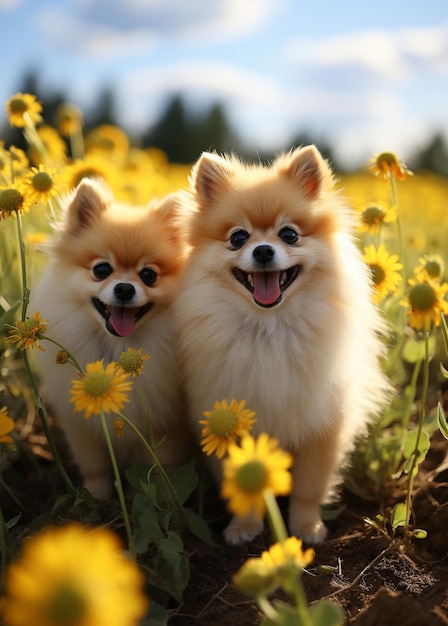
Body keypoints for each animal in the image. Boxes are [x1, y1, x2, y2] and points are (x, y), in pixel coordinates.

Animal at [31, 177, 192, 498]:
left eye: (149, 275)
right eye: (101, 269)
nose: (124, 289)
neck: (116, 347)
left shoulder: (167, 428)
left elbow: (159, 470)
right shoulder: (83, 428)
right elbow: (95, 467)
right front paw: (98, 498)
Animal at [173, 145, 390, 540]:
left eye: (289, 235)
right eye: (238, 238)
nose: (262, 251)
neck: (270, 328)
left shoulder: (321, 427)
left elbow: (309, 487)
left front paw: (306, 526)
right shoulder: (226, 422)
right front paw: (244, 526)